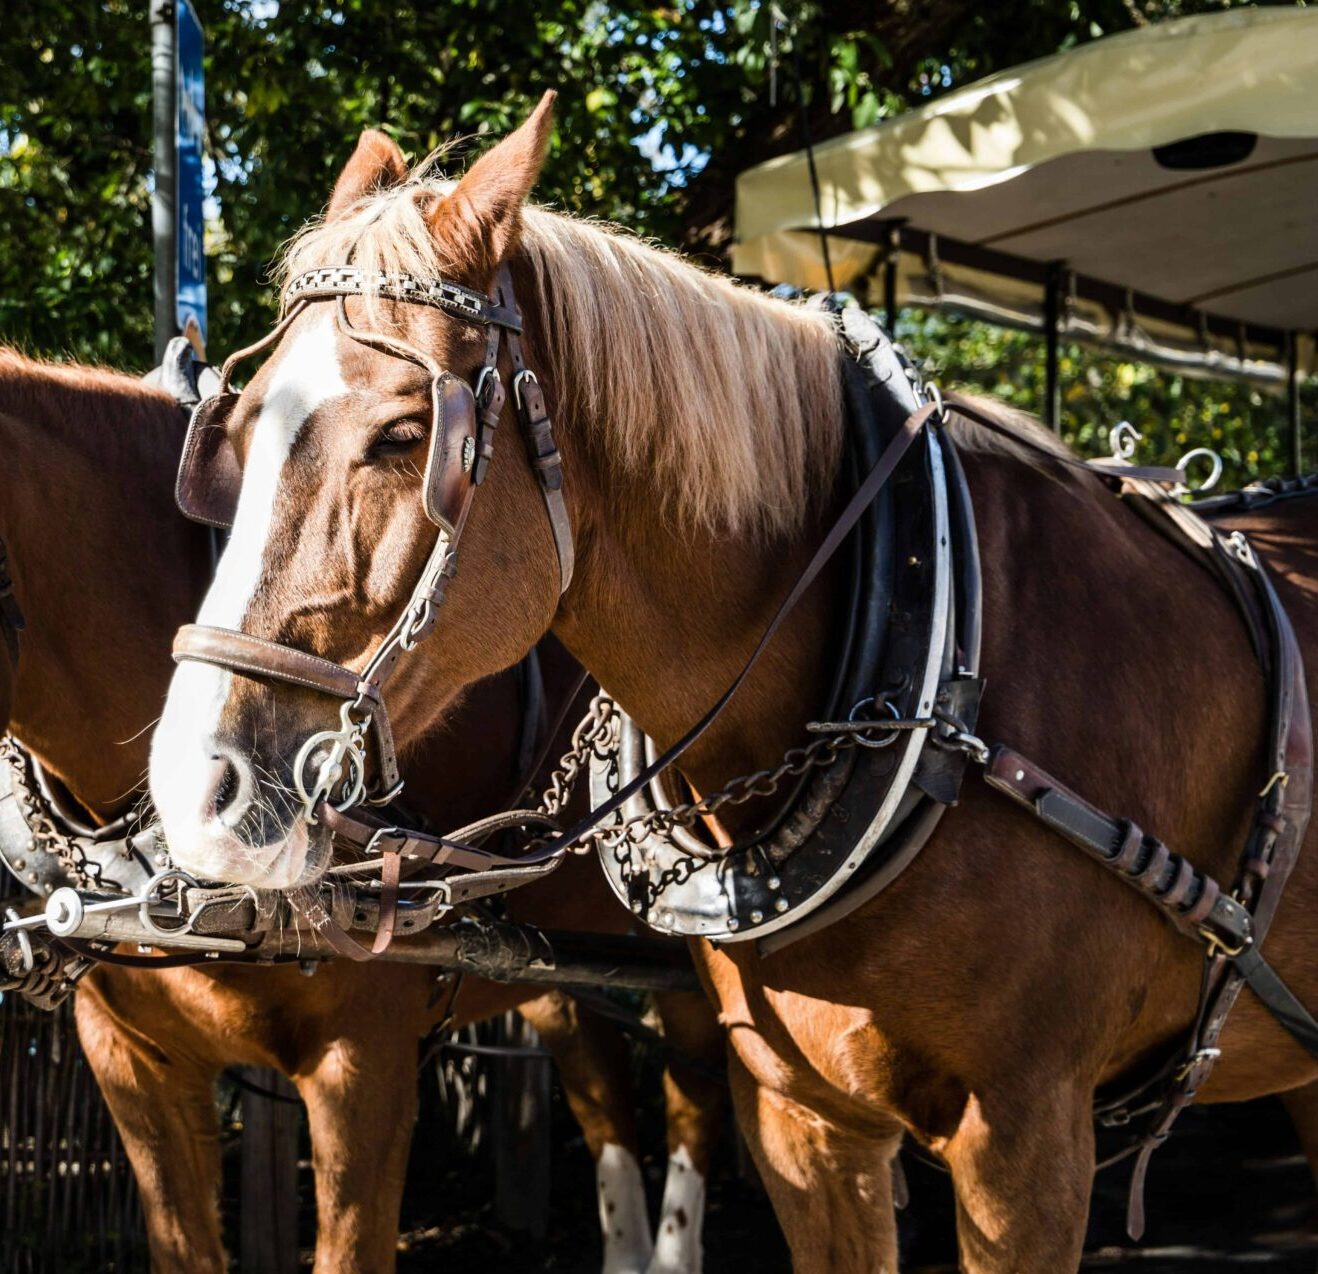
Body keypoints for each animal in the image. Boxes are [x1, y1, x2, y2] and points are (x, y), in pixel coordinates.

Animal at [146, 93, 1318, 1272]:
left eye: (402, 433)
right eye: (235, 429)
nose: (199, 789)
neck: (937, 692)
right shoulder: (804, 1122)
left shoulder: (1028, 1143)